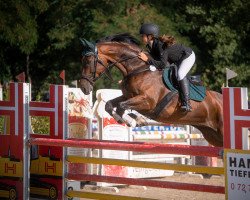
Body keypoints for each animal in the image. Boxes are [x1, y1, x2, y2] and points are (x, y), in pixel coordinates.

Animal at [79, 33, 224, 147]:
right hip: (212, 135)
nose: (83, 87)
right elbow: (110, 105)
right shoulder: (128, 96)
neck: (137, 69)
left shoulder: (147, 102)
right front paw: (130, 120)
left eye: (88, 61)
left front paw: (134, 120)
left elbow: (121, 106)